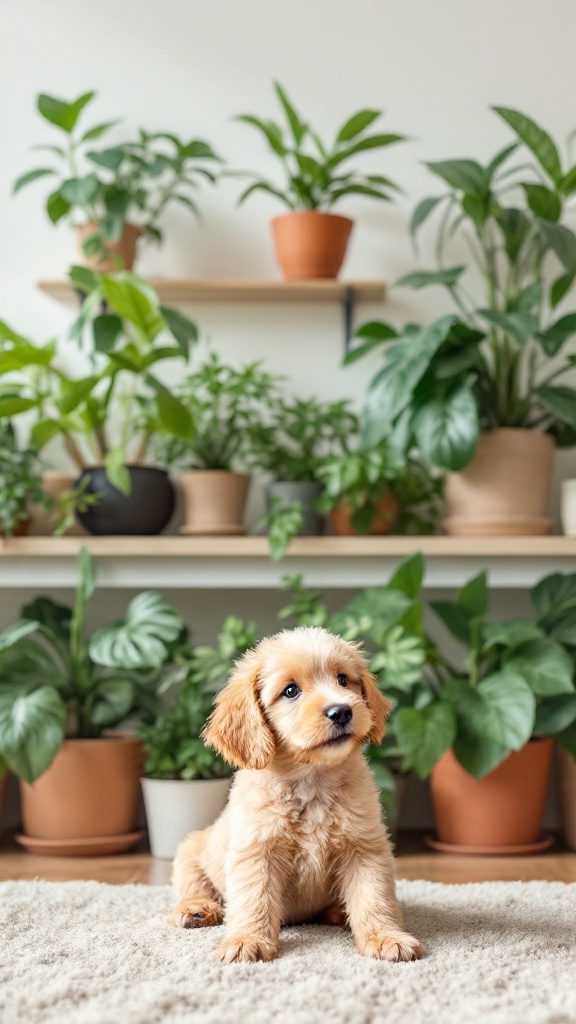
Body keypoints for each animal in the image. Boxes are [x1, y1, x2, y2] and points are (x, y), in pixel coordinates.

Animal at [170, 618, 422, 962]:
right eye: (291, 691)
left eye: (343, 680)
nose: (342, 711)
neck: (311, 780)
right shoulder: (256, 852)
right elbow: (254, 899)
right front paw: (247, 939)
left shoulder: (365, 847)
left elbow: (374, 898)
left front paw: (385, 937)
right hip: (189, 853)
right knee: (193, 886)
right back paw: (196, 909)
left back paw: (339, 912)